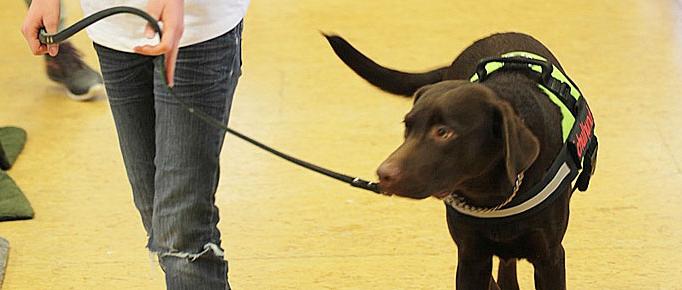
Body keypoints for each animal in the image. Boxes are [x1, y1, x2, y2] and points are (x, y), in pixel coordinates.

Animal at [324, 32, 596, 290]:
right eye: (407, 127)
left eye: (443, 132)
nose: (384, 174)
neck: (491, 196)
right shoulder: (471, 258)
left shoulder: (550, 257)